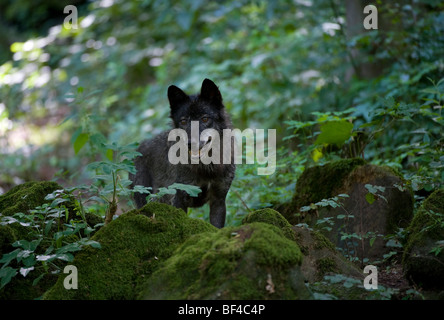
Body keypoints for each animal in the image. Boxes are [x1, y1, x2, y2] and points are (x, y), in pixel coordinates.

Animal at [130, 78, 236, 228]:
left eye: (204, 119)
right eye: (184, 121)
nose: (190, 143)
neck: (206, 168)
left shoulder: (219, 200)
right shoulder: (179, 199)